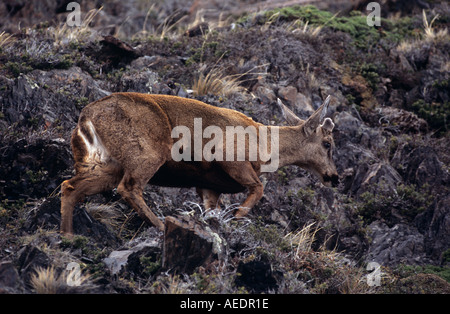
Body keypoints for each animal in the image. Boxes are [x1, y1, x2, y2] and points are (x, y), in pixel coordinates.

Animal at [61, 92, 340, 237]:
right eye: (328, 143)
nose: (334, 177)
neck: (265, 146)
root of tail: (86, 117)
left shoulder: (209, 185)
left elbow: (210, 211)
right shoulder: (230, 156)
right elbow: (259, 188)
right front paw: (237, 217)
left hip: (104, 163)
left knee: (70, 186)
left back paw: (68, 235)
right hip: (146, 153)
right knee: (128, 187)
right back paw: (160, 225)